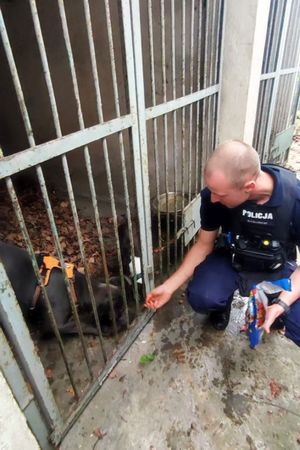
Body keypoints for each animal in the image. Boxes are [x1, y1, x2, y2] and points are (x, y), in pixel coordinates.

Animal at [0, 239, 138, 338]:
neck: (75, 287)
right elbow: (83, 325)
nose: (131, 313)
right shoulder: (57, 325)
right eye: (119, 309)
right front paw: (106, 329)